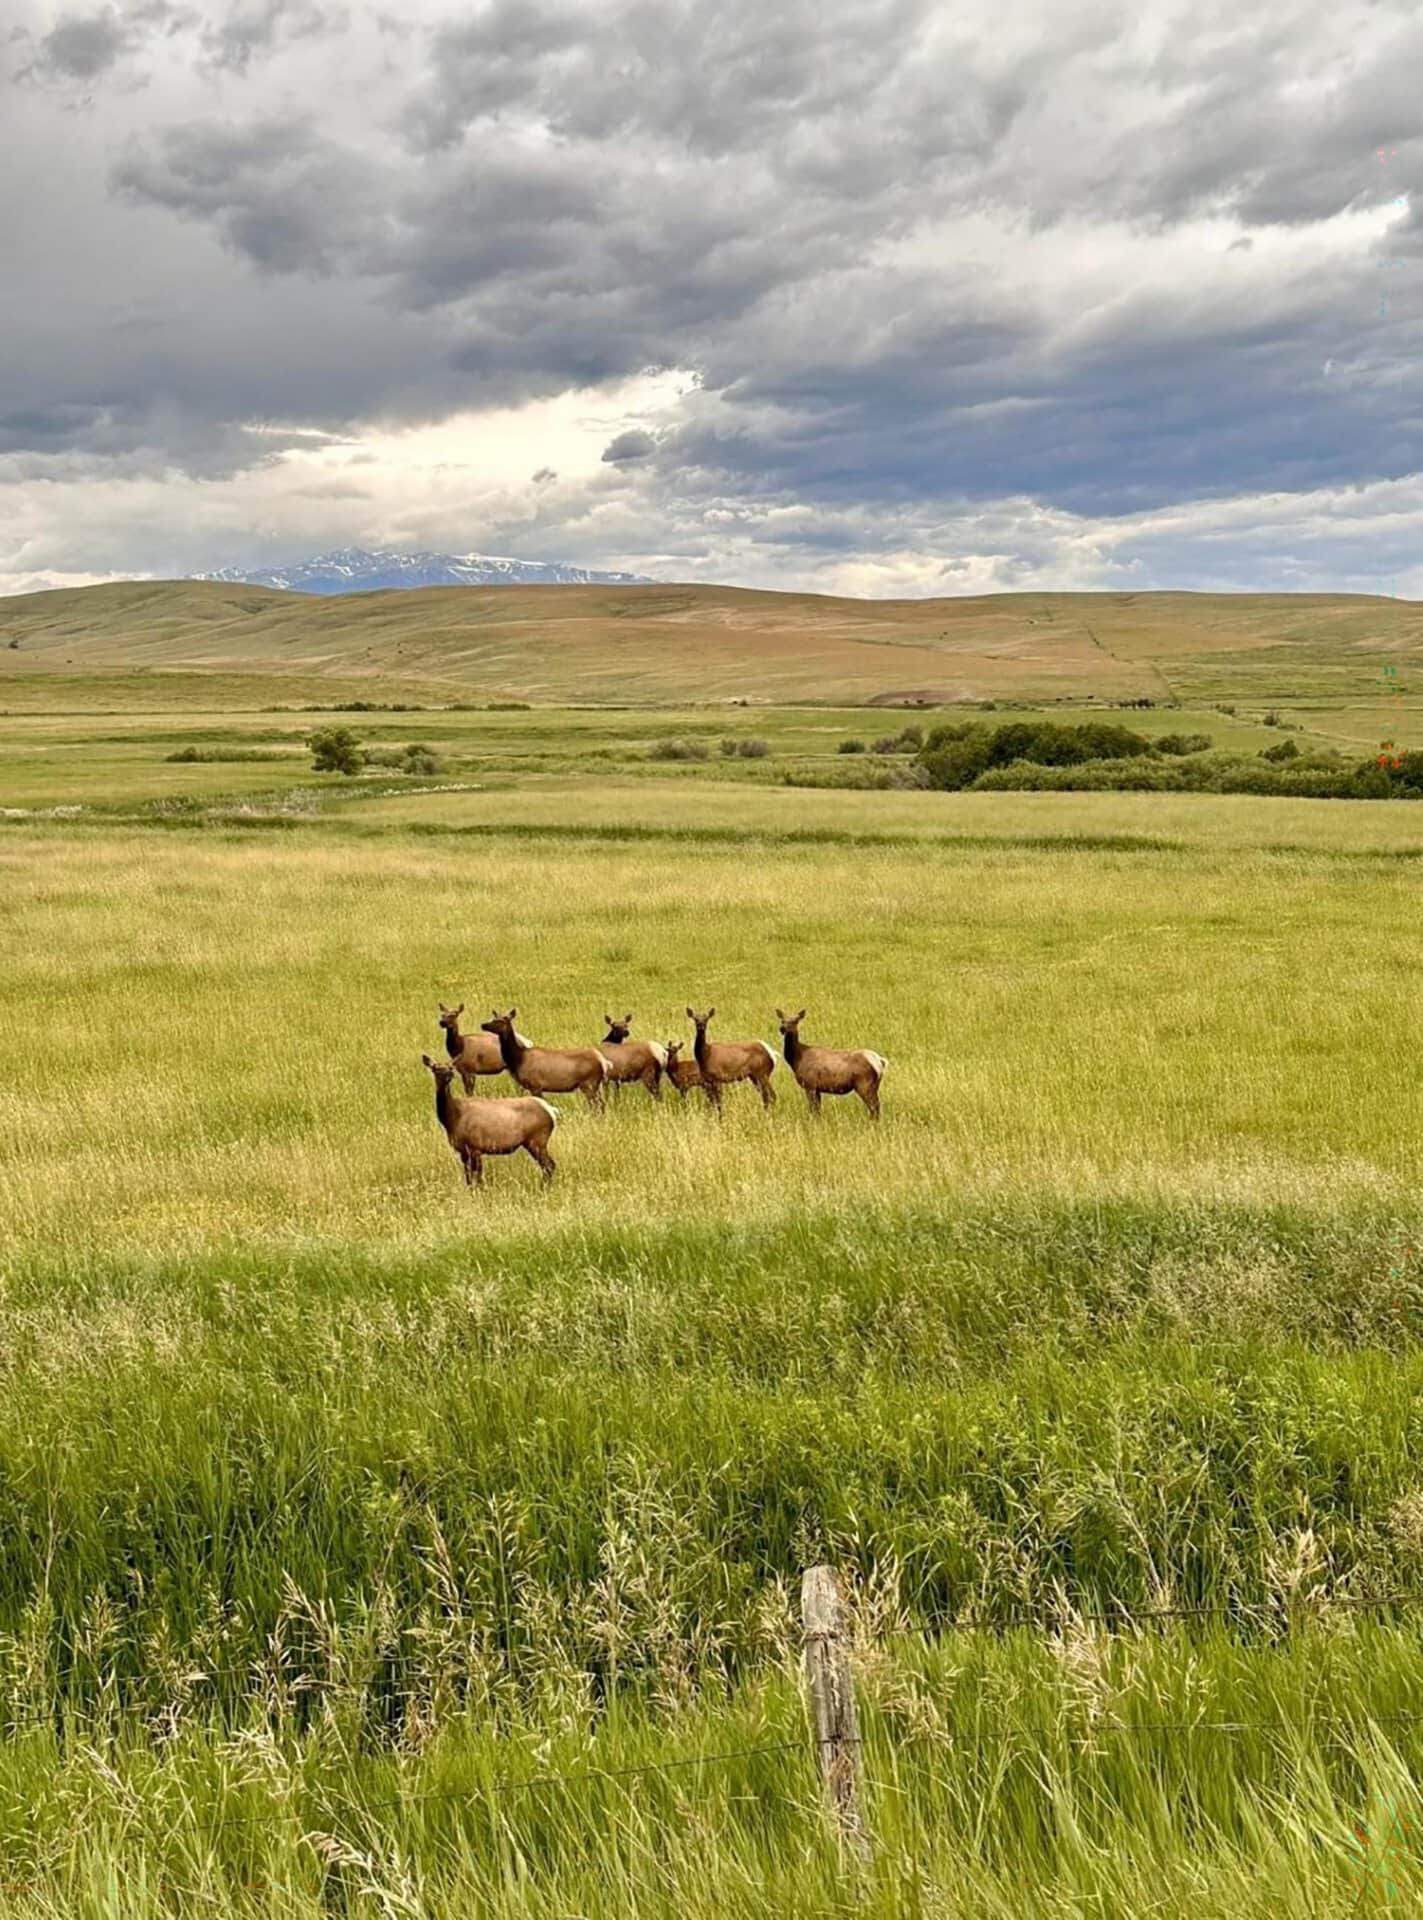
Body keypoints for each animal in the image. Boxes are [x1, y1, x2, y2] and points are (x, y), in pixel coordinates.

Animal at [422, 1054, 557, 1186]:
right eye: (435, 1068)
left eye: (451, 1067)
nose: (449, 1075)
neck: (453, 1119)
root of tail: (551, 1112)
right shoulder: (463, 1151)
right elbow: (468, 1177)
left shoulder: (475, 1146)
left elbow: (478, 1177)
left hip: (537, 1140)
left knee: (549, 1165)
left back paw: (543, 1187)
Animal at [480, 1010, 610, 1107]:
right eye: (493, 1018)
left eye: (501, 1021)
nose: (483, 1025)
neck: (519, 1059)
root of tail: (603, 1062)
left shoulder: (535, 1085)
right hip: (594, 1085)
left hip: (589, 1083)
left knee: (598, 1105)